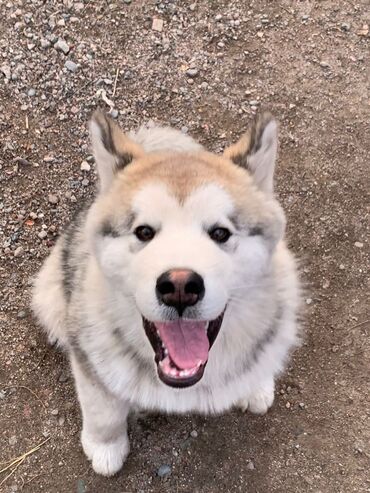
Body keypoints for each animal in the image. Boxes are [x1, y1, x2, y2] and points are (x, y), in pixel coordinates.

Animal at [31, 110, 300, 472]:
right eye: (144, 231)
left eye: (220, 233)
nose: (180, 287)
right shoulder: (91, 360)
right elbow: (103, 410)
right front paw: (105, 447)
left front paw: (255, 385)